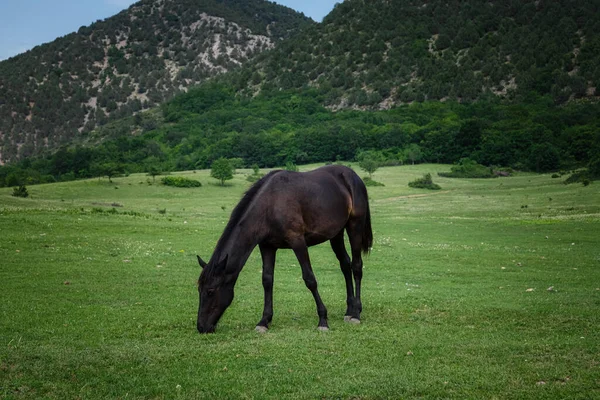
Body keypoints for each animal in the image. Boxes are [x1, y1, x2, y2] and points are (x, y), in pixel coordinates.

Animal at [197, 164, 372, 332]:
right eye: (199, 289)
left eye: (210, 291)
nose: (201, 327)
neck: (270, 204)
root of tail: (353, 176)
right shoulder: (267, 246)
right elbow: (267, 280)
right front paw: (264, 321)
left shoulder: (297, 241)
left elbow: (310, 279)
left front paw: (323, 320)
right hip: (336, 234)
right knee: (345, 265)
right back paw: (349, 310)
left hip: (354, 226)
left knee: (356, 266)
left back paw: (356, 313)